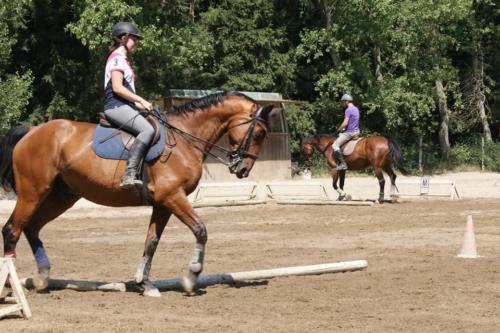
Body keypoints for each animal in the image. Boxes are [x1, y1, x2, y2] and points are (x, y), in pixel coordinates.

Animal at [0, 91, 274, 296]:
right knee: (12, 229)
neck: (185, 140)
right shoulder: (172, 197)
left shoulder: (163, 203)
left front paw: (144, 283)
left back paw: (42, 277)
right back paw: (9, 284)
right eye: (259, 133)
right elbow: (200, 230)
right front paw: (192, 276)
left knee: (31, 227)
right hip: (33, 193)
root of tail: (32, 131)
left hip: (61, 197)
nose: (243, 169)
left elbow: (151, 242)